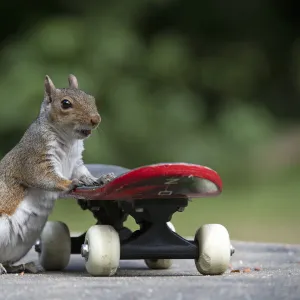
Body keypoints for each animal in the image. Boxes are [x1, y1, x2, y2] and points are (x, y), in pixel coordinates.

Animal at [0, 73, 115, 274]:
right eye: (65, 103)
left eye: (91, 98)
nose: (96, 119)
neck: (69, 141)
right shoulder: (33, 157)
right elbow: (43, 177)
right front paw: (70, 183)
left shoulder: (77, 163)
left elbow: (84, 174)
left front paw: (100, 179)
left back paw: (22, 266)